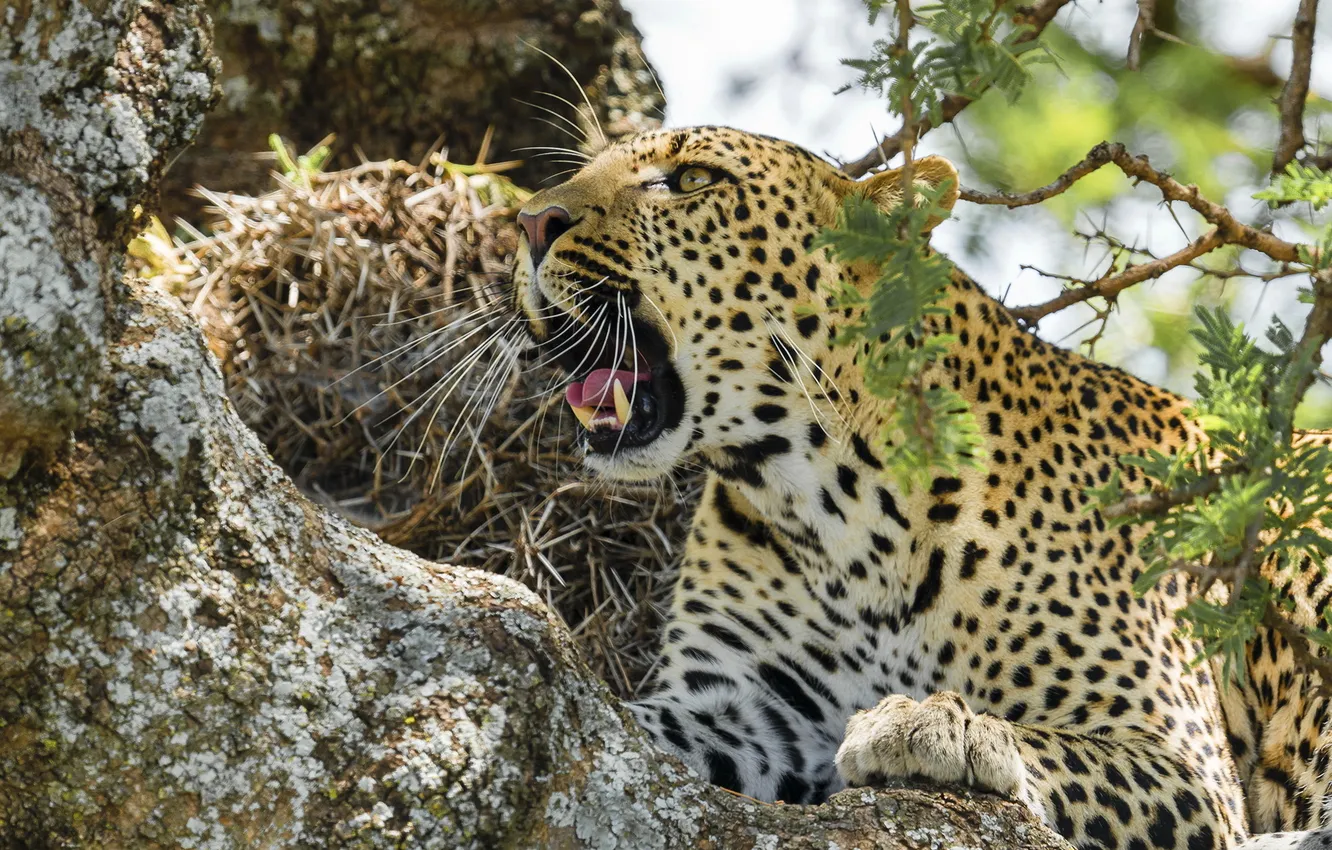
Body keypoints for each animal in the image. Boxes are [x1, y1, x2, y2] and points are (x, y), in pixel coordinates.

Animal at [509, 125, 1332, 850]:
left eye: (691, 180)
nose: (531, 222)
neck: (833, 507)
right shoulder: (743, 710)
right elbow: (626, 731)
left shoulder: (1178, 757)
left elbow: (1051, 741)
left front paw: (939, 724)